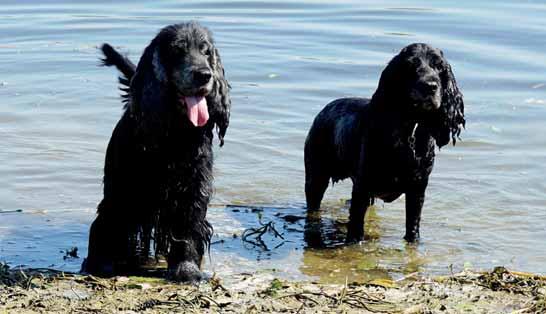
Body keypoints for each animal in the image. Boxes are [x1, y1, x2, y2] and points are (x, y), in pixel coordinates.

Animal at [82, 22, 231, 282]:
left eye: (206, 51)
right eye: (178, 51)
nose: (205, 75)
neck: (173, 132)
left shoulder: (193, 190)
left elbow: (188, 228)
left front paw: (186, 269)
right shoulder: (121, 187)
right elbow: (109, 222)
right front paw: (101, 263)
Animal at [302, 43, 464, 243]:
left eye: (439, 66)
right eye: (411, 65)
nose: (430, 86)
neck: (409, 132)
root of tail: (323, 110)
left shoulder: (418, 188)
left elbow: (413, 226)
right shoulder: (362, 187)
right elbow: (355, 227)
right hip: (316, 176)